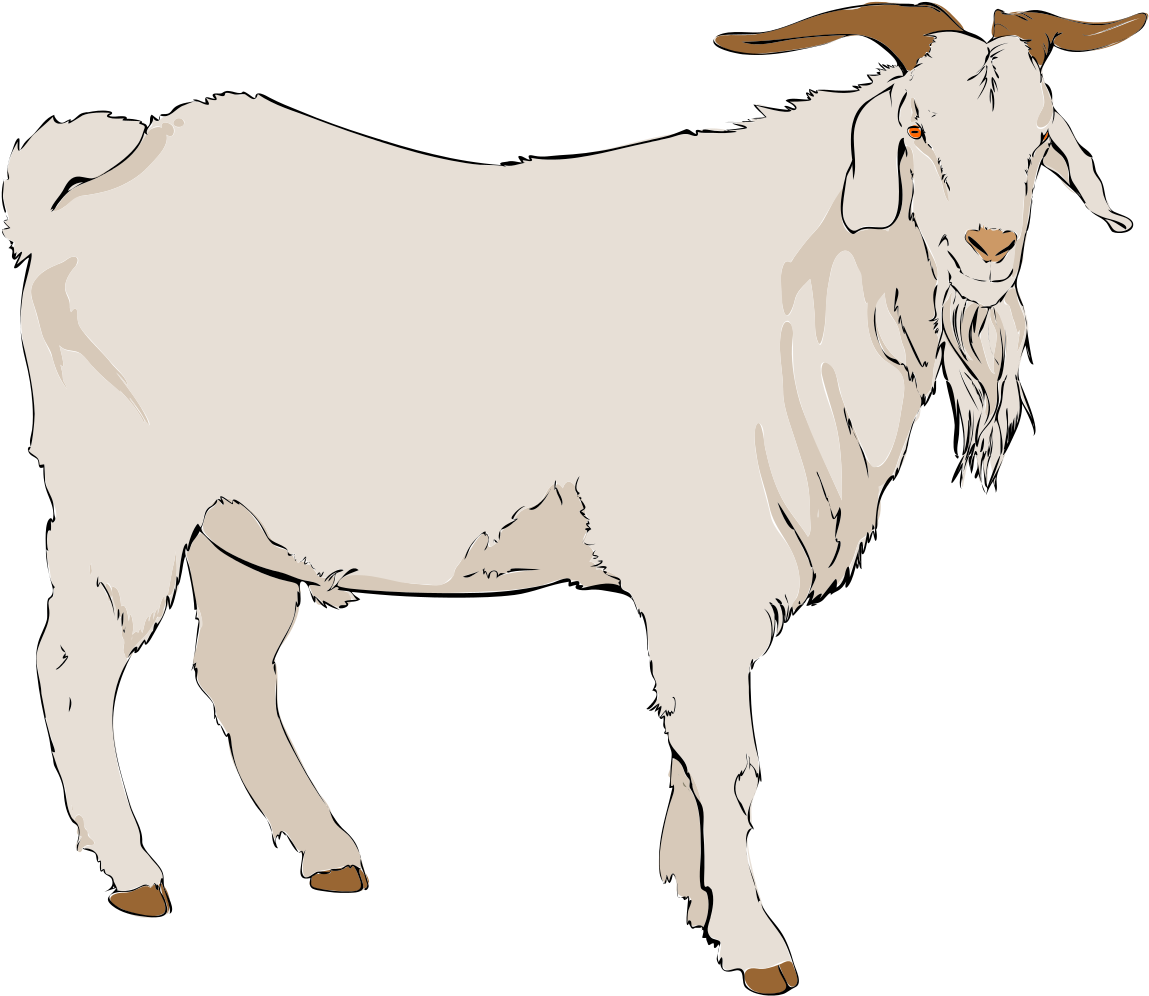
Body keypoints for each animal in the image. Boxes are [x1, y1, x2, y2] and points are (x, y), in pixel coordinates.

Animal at [2, 5, 1142, 988]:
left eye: (1037, 141)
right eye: (914, 127)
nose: (990, 249)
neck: (802, 285)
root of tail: (105, 177)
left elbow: (689, 741)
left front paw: (693, 893)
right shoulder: (697, 567)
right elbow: (725, 755)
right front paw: (752, 941)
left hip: (239, 532)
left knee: (233, 673)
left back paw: (327, 854)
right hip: (120, 500)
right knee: (75, 666)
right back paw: (136, 877)